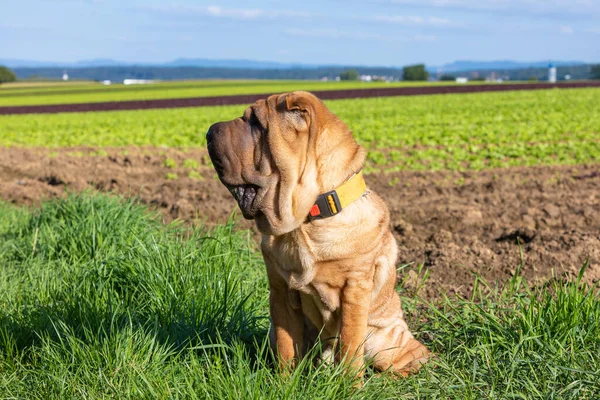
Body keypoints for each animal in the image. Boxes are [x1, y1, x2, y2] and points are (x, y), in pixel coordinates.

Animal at [206, 91, 426, 382]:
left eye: (256, 122)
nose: (209, 131)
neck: (306, 220)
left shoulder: (354, 290)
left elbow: (350, 344)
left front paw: (350, 386)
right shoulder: (279, 291)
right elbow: (287, 348)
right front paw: (284, 383)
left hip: (384, 341)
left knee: (414, 355)